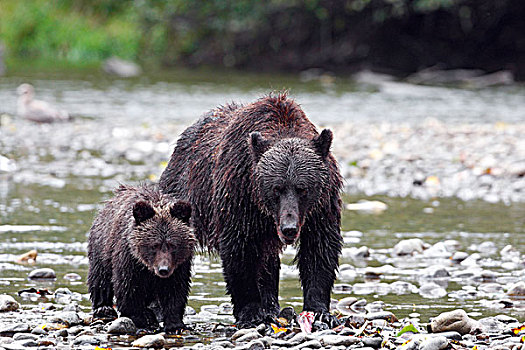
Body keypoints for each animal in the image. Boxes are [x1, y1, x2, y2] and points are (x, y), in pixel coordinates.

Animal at [88, 185, 194, 332]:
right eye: (154, 245)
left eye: (173, 245)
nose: (163, 269)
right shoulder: (128, 259)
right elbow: (128, 287)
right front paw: (142, 319)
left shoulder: (180, 265)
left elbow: (175, 290)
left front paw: (175, 324)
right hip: (102, 246)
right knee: (100, 277)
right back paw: (104, 308)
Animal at [158, 93, 342, 328]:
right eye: (277, 188)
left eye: (302, 188)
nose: (289, 228)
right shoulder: (239, 194)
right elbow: (240, 251)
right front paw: (251, 313)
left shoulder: (322, 205)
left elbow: (319, 249)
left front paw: (320, 311)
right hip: (184, 198)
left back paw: (272, 307)